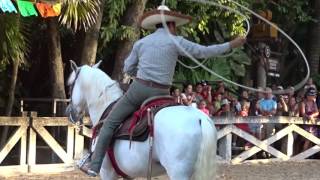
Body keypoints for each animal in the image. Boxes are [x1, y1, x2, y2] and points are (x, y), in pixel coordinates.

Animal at [67, 60, 218, 180]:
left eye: (70, 85)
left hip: (178, 173)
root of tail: (200, 119)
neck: (104, 104)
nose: (69, 112)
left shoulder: (107, 173)